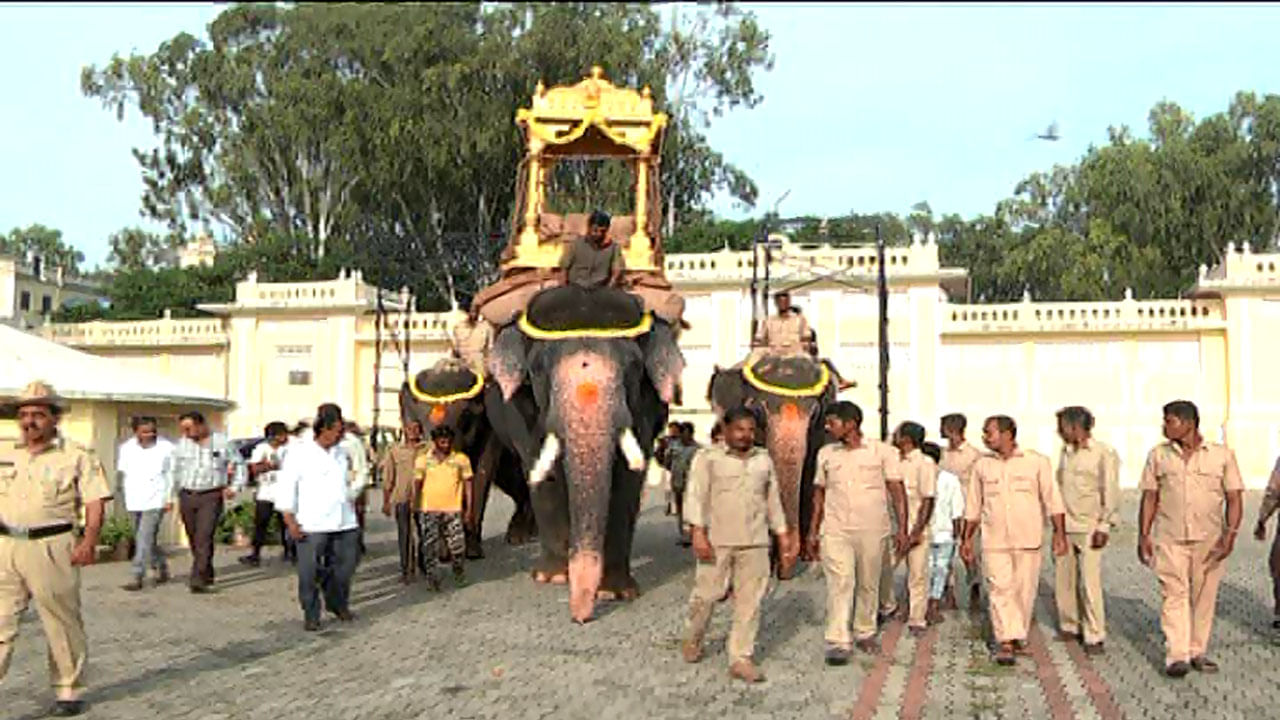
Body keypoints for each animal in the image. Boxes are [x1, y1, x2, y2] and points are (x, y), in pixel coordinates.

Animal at [401, 361, 537, 558]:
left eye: (465, 417)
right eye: (421, 422)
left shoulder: (490, 425)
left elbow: (481, 472)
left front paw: (472, 552)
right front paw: (444, 554)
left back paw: (521, 536)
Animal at [483, 283, 686, 620]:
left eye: (634, 367)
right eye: (537, 369)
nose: (579, 617)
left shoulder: (645, 402)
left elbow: (627, 477)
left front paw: (615, 592)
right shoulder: (521, 407)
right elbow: (543, 469)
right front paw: (552, 578)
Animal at [706, 353, 834, 576]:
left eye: (815, 413)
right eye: (757, 410)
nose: (784, 572)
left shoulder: (818, 435)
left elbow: (811, 480)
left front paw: (808, 558)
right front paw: (768, 561)